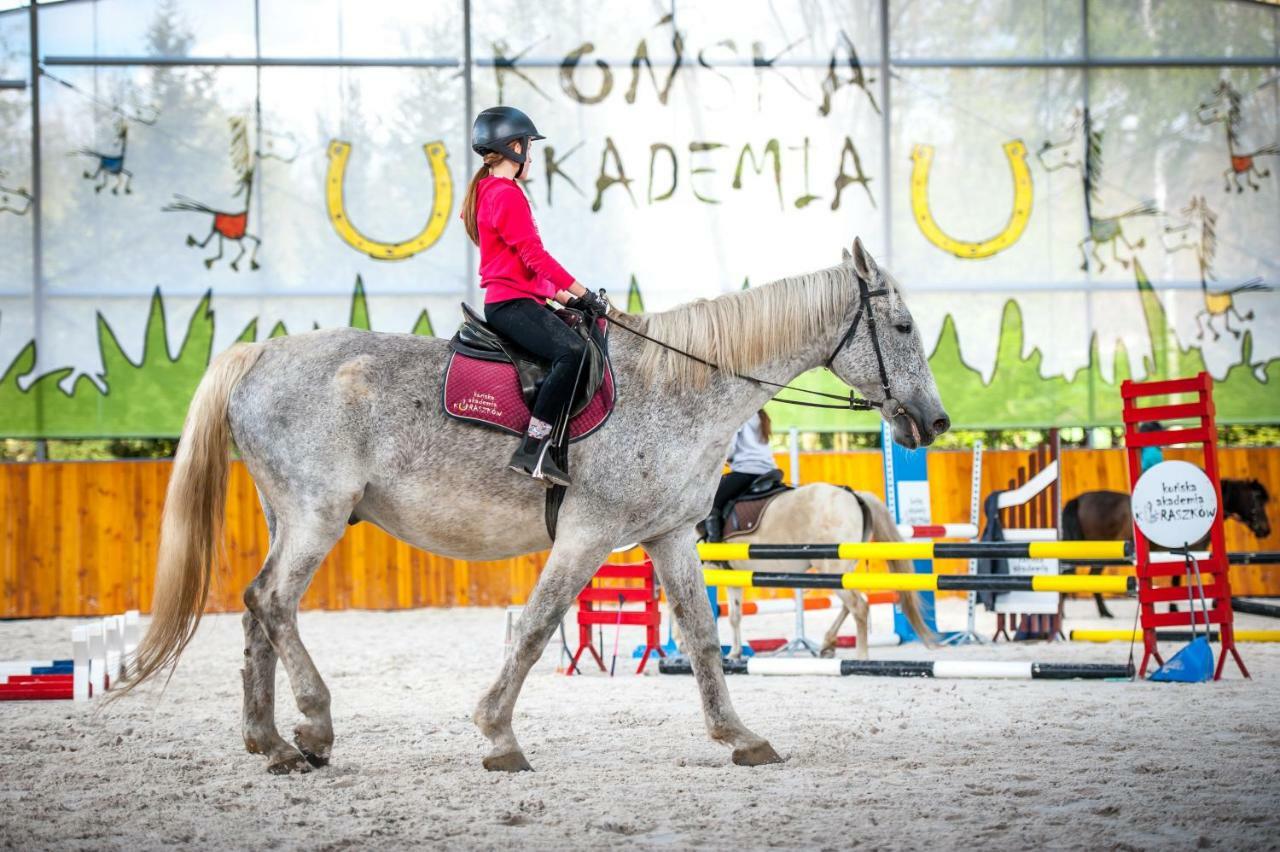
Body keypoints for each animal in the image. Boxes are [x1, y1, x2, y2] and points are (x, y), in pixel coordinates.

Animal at [727, 483, 926, 654]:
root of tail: (854, 496)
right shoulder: (732, 575)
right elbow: (735, 615)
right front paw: (735, 653)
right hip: (842, 571)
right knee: (851, 604)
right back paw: (828, 644)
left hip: (832, 569)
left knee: (859, 607)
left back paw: (861, 657)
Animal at [1059, 478, 1269, 616]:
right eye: (1257, 501)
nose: (1266, 530)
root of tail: (1079, 500)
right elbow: (1178, 580)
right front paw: (1175, 608)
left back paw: (1100, 613)